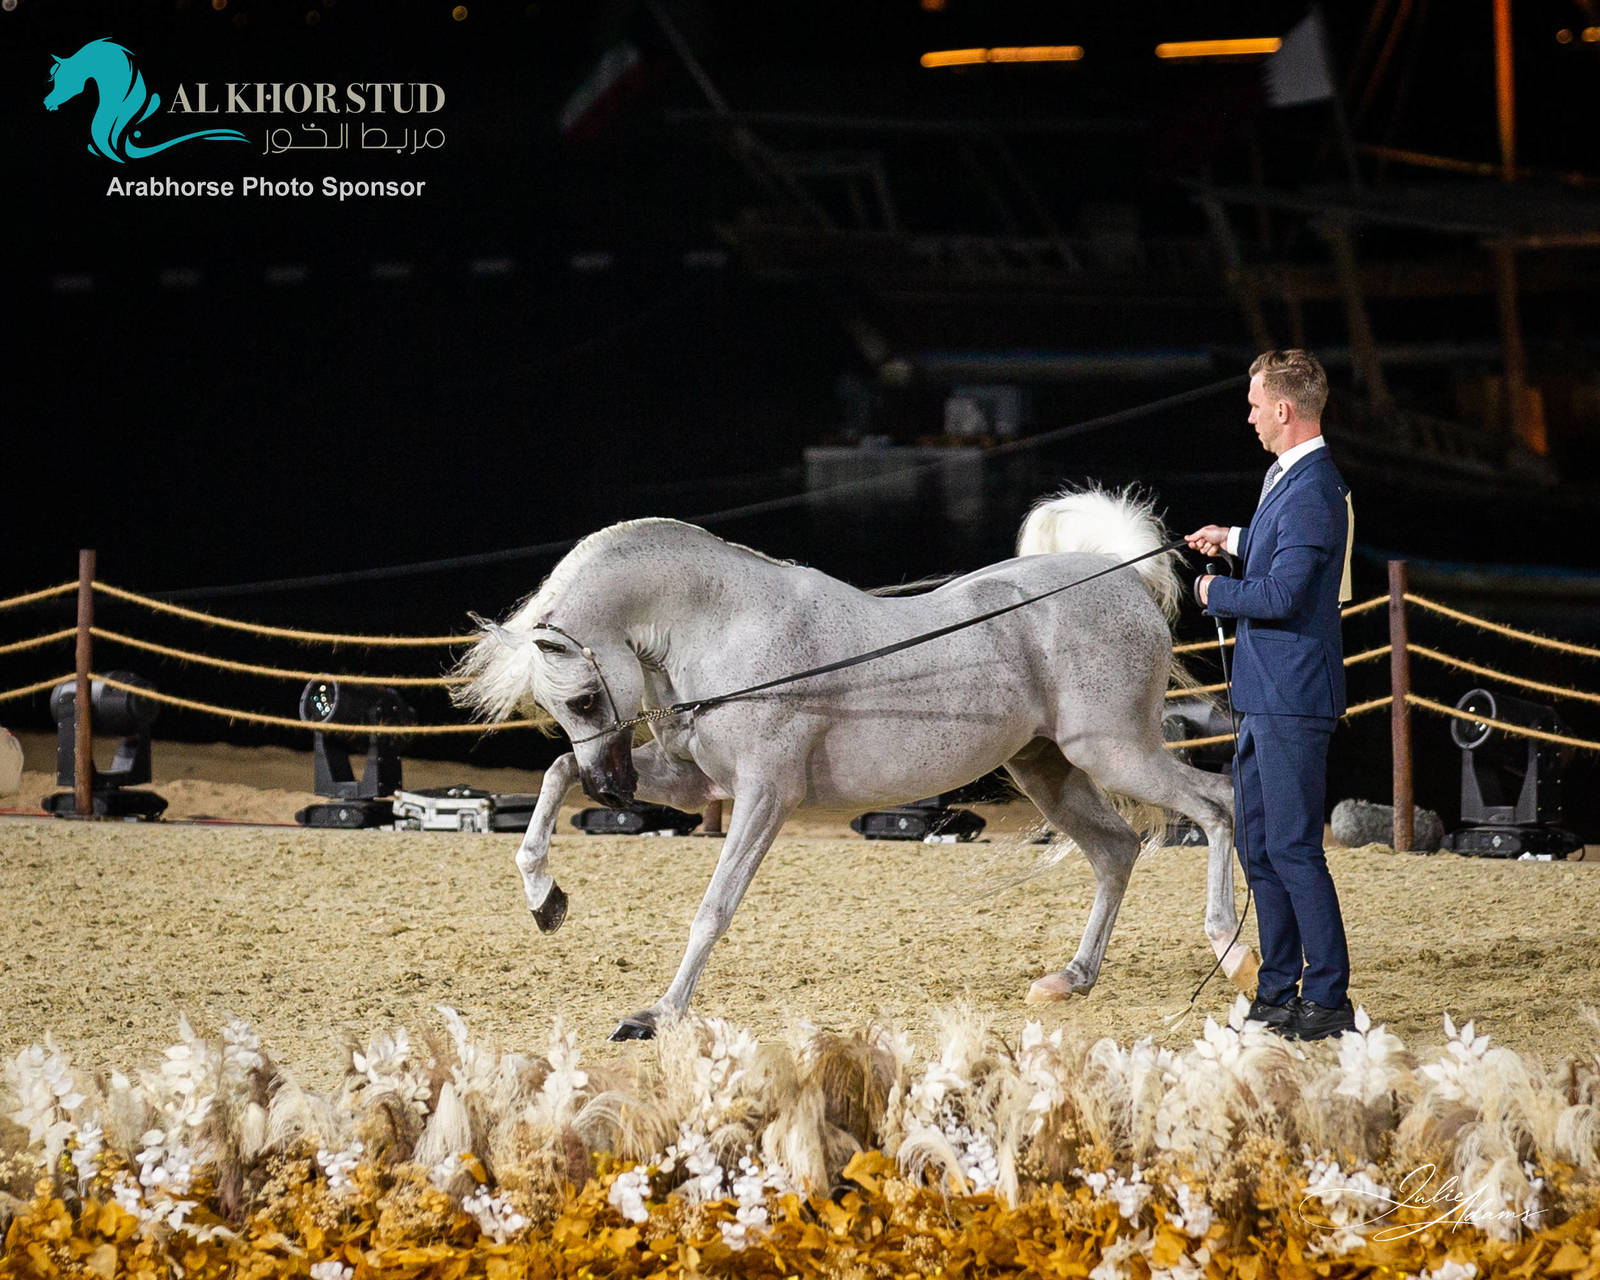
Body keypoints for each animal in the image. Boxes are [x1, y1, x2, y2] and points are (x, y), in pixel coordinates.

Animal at [455, 489, 1253, 1040]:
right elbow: (556, 775)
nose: (613, 790)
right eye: (559, 707)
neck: (725, 626)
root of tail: (1119, 581)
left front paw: (658, 1014)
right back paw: (1072, 979)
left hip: (1115, 752)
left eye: (587, 697)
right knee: (1118, 849)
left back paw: (1231, 950)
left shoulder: (764, 797)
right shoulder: (697, 781)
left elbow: (713, 908)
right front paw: (546, 902)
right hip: (1049, 769)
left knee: (1217, 803)